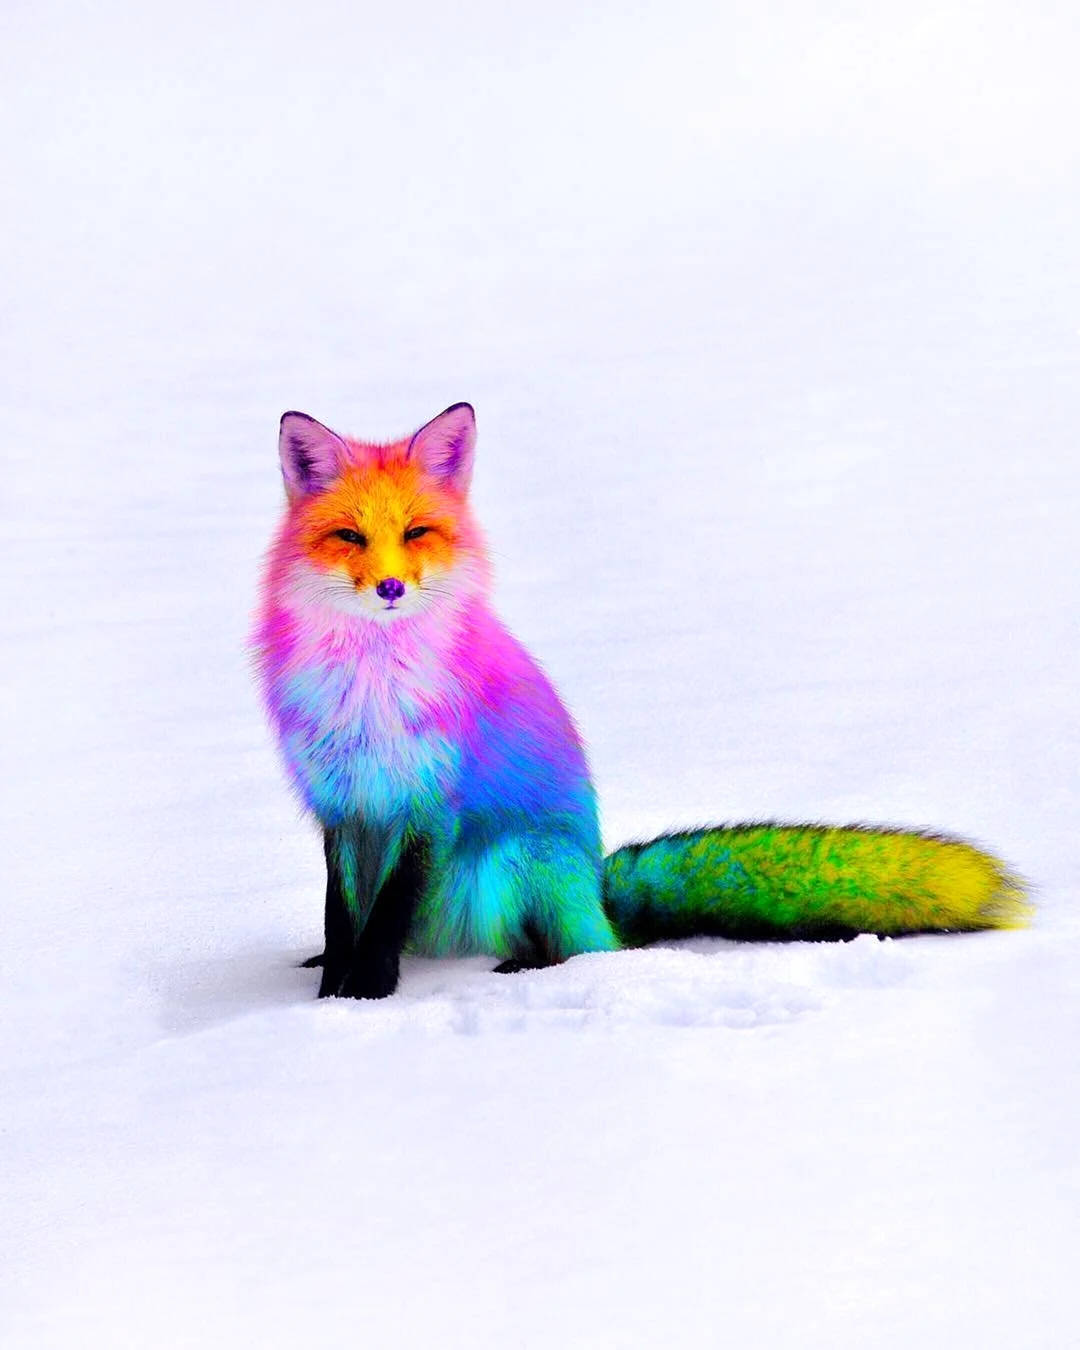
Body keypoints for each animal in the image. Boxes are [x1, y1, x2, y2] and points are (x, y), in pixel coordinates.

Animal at [254, 402, 1030, 999]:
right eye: (350, 536)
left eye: (416, 532)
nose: (390, 588)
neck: (370, 691)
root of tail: (599, 892)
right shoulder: (343, 806)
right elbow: (341, 913)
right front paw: (330, 988)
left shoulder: (427, 804)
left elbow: (386, 914)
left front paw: (365, 995)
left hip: (511, 860)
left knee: (582, 950)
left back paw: (527, 968)